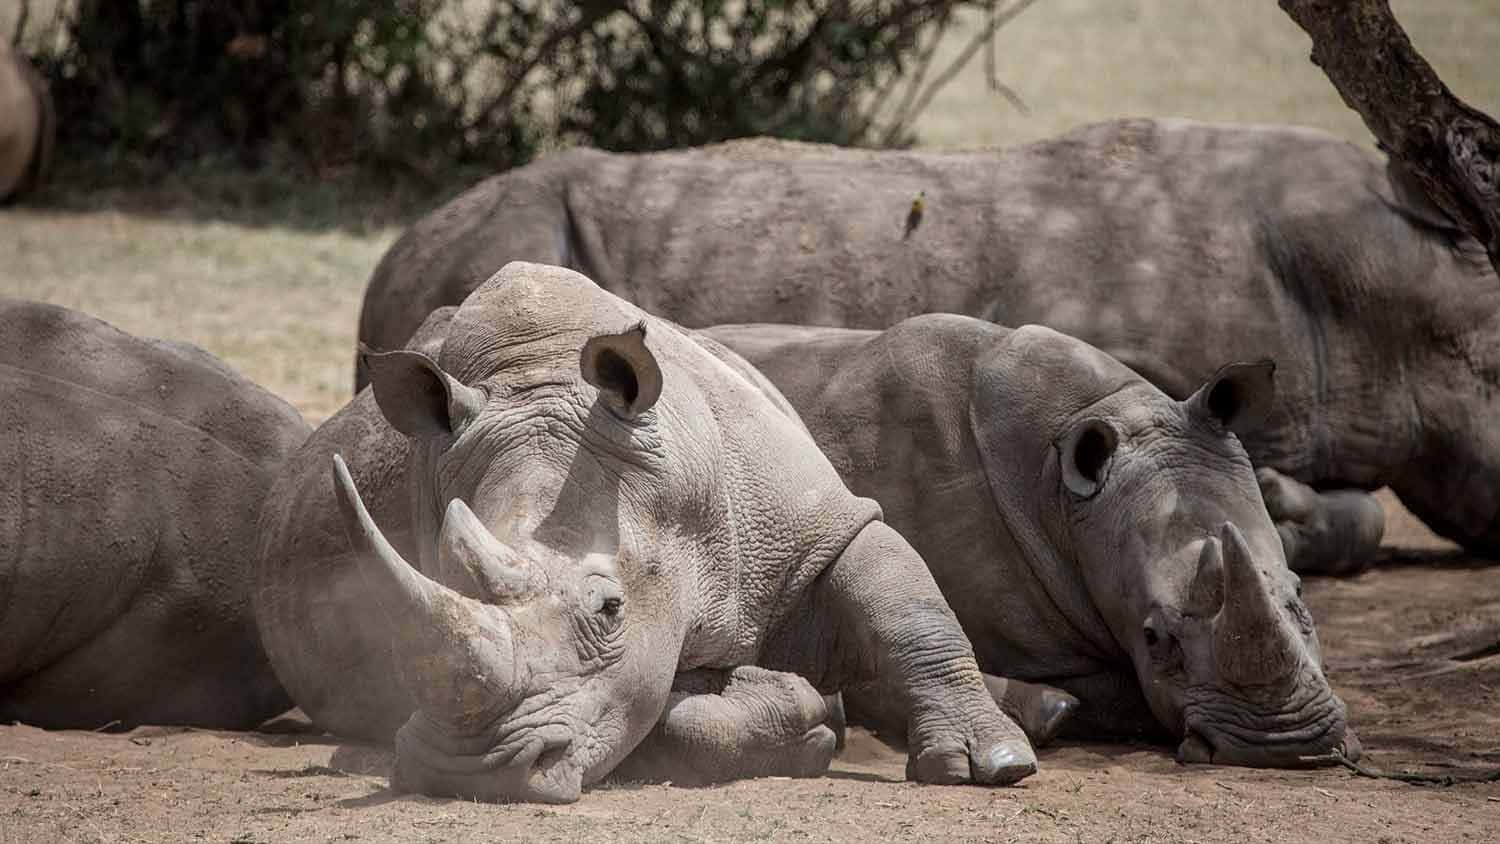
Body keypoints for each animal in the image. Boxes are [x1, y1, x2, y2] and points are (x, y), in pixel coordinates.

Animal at [254, 262, 1037, 804]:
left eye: (610, 609)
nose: (469, 771)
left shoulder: (813, 522)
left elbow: (903, 600)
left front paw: (993, 765)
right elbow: (676, 715)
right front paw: (796, 707)